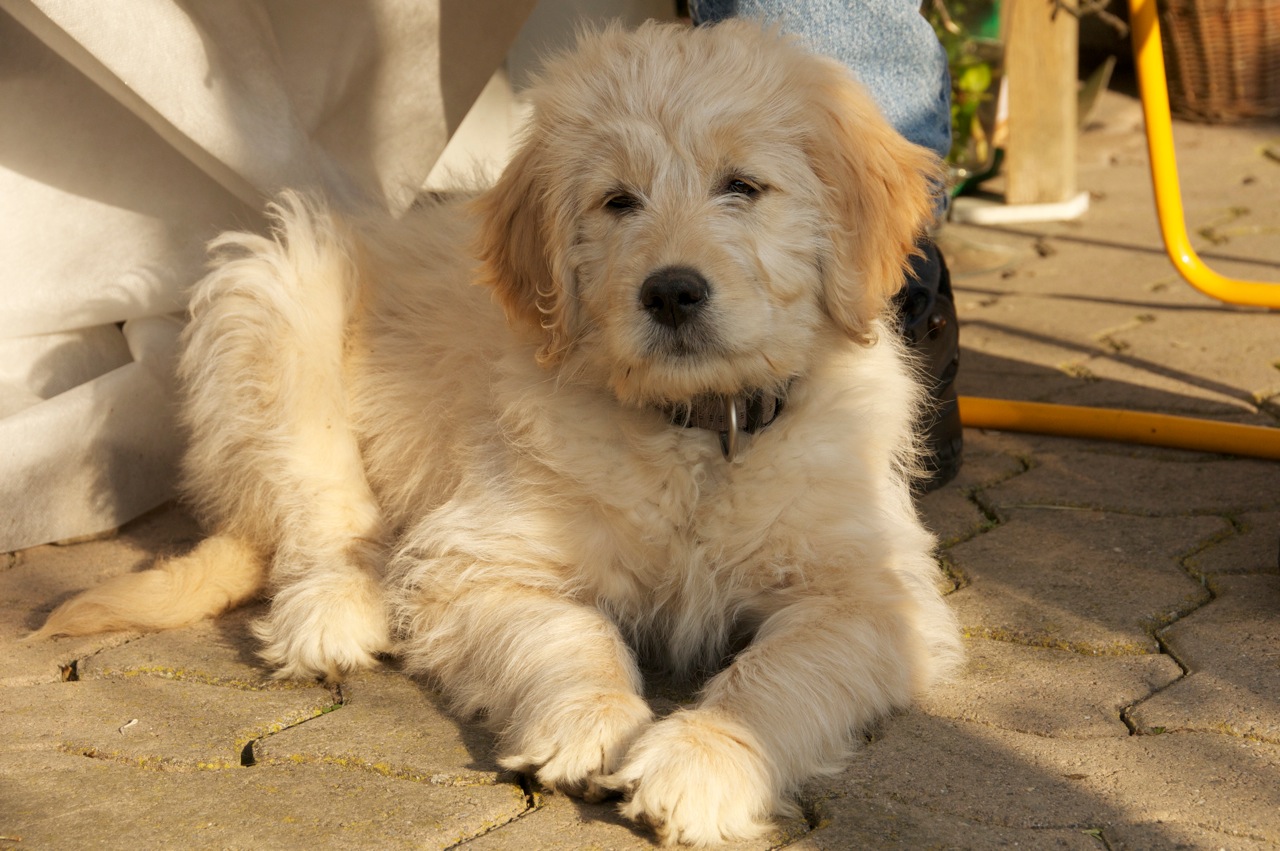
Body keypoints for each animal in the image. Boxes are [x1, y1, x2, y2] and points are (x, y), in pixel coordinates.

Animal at [37, 18, 962, 844]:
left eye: (742, 186)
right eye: (617, 201)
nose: (671, 291)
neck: (695, 430)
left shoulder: (873, 594)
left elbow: (780, 673)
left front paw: (705, 760)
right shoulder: (477, 562)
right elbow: (571, 632)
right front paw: (590, 720)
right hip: (271, 299)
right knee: (317, 499)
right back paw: (335, 605)